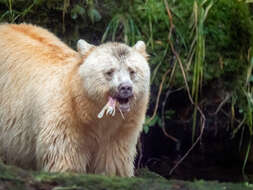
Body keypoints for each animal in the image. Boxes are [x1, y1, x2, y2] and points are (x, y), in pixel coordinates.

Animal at [0, 23, 150, 177]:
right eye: (109, 71)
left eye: (132, 71)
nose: (125, 87)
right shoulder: (66, 120)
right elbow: (66, 159)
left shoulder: (120, 131)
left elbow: (113, 162)